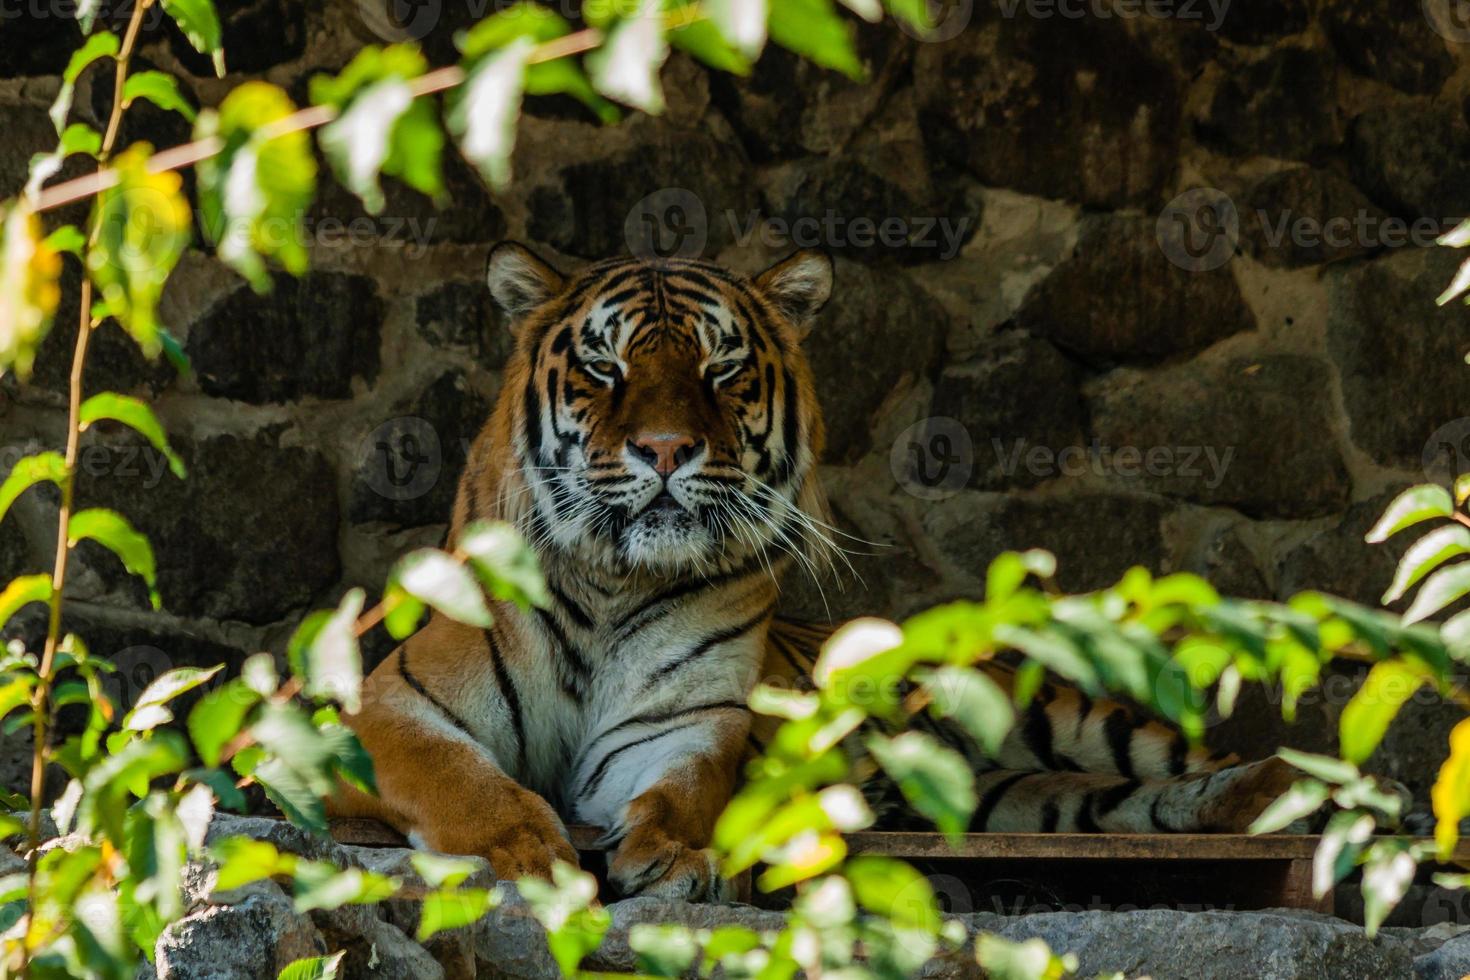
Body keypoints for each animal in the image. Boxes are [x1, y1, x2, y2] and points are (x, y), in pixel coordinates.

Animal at [330, 245, 1299, 905]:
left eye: (721, 369)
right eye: (604, 367)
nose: (666, 449)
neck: (616, 583)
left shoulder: (682, 726)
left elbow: (682, 791)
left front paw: (674, 855)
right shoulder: (389, 706)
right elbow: (456, 774)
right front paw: (525, 851)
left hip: (1049, 711)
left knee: (1188, 760)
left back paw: (1287, 793)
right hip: (1018, 798)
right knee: (1110, 803)